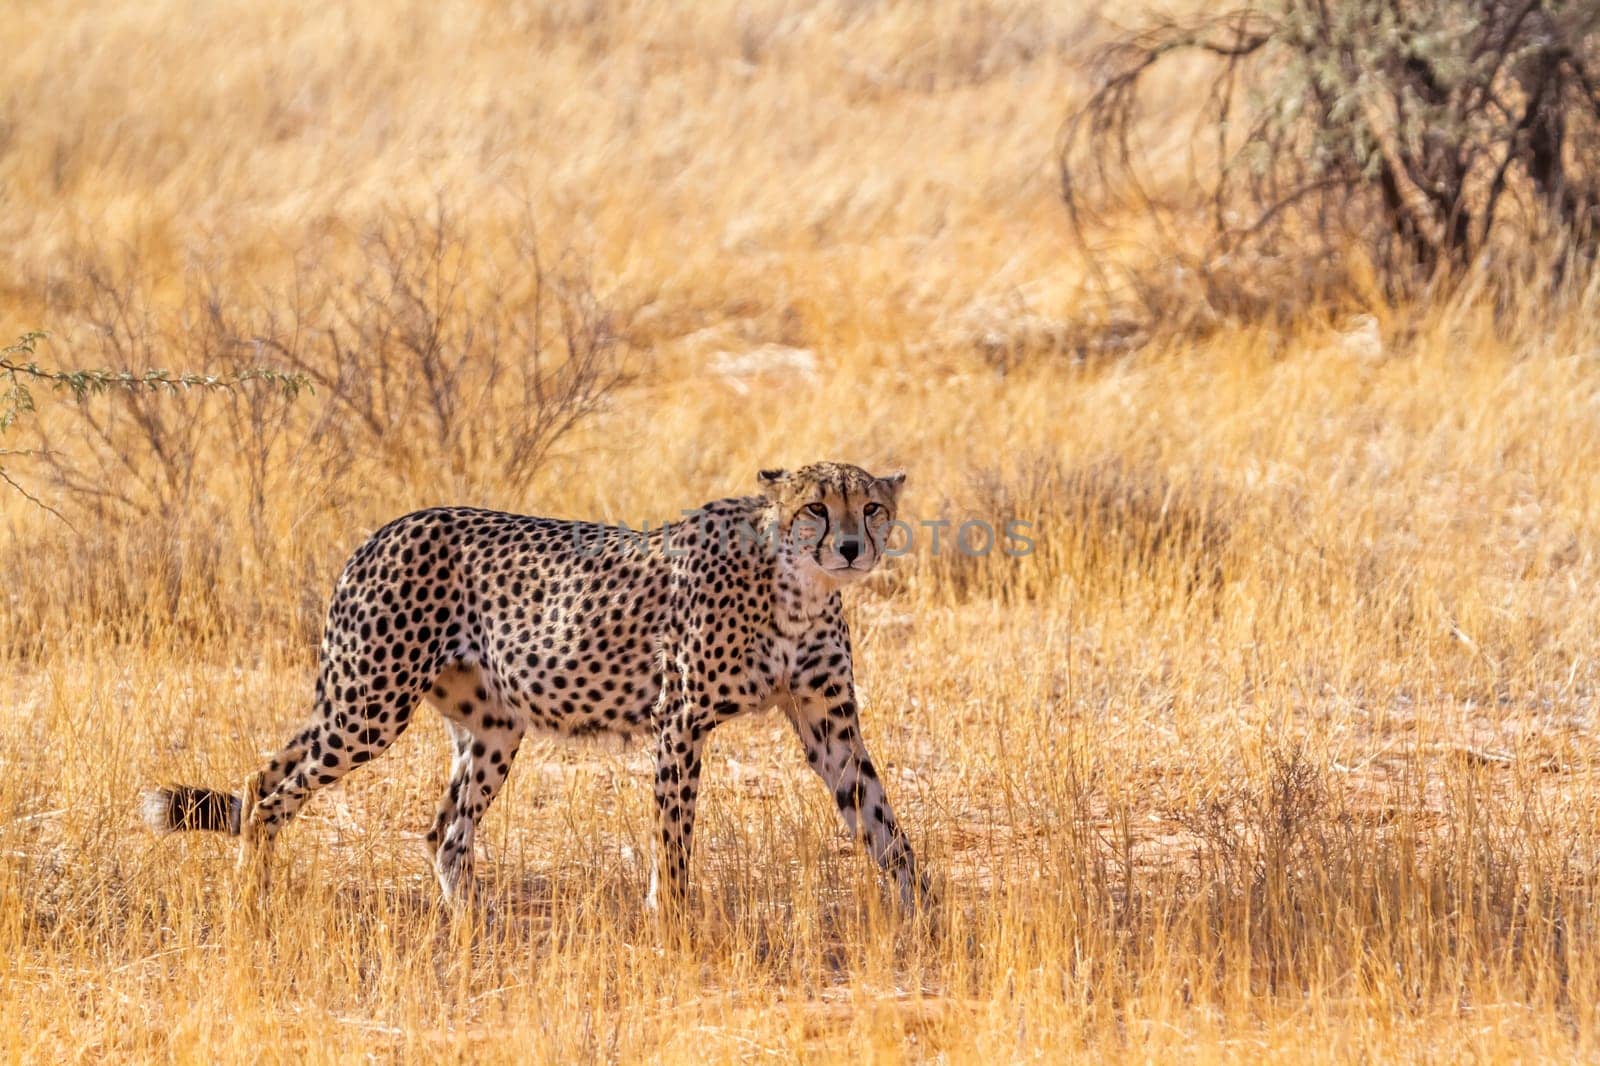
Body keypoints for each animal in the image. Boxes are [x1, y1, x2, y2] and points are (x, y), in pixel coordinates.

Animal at [147, 460, 934, 909]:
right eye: (815, 508)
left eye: (870, 508)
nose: (851, 547)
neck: (796, 585)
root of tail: (387, 527)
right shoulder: (679, 719)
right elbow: (674, 834)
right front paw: (674, 919)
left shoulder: (828, 724)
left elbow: (881, 820)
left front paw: (924, 910)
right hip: (367, 708)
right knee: (272, 795)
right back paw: (252, 900)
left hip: (487, 725)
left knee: (436, 830)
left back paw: (474, 926)